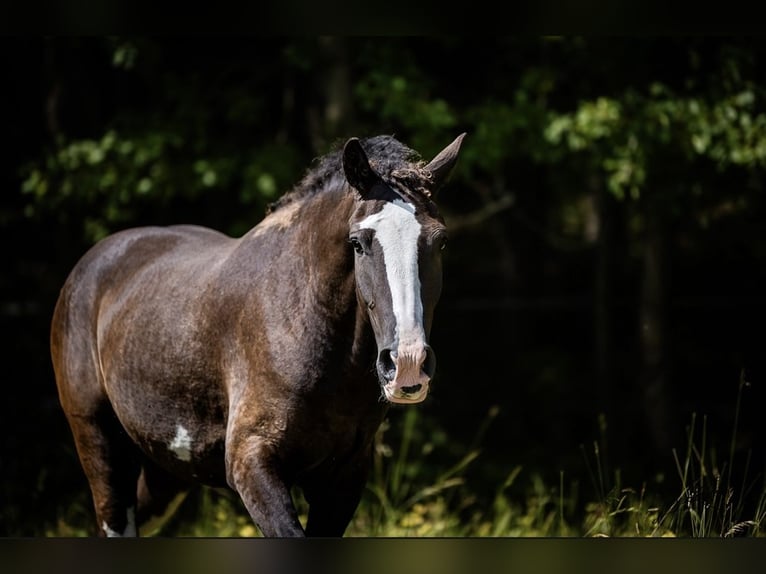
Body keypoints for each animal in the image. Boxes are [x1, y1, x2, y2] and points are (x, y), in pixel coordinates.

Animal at [52, 133, 468, 536]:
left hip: (164, 468)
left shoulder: (343, 479)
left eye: (441, 241)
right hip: (98, 442)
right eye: (358, 243)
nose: (407, 363)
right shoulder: (251, 463)